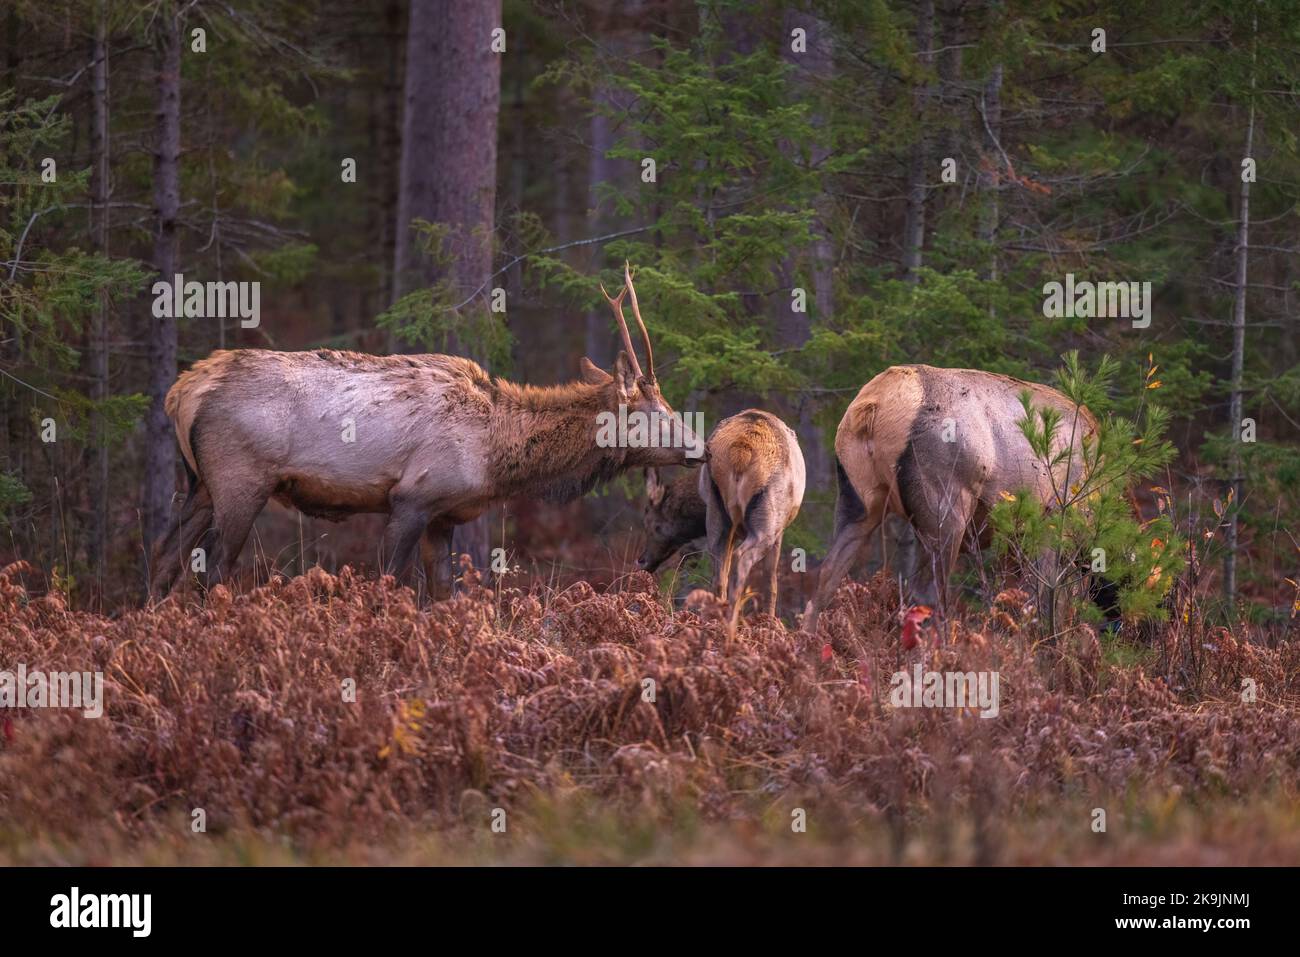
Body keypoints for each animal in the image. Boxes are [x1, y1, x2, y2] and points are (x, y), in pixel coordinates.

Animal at [148, 261, 702, 598]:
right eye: (657, 410)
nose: (698, 448)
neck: (494, 456)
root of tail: (182, 391)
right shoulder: (412, 497)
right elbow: (389, 582)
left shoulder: (445, 514)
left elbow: (444, 595)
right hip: (241, 480)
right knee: (211, 569)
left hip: (200, 484)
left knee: (162, 557)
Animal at [639, 408, 800, 624]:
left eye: (653, 525)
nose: (642, 561)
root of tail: (742, 452)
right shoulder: (779, 530)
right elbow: (771, 580)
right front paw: (770, 620)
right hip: (767, 520)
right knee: (741, 560)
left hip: (718, 516)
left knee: (719, 575)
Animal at [800, 361, 1097, 631]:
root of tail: (871, 408)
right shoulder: (1051, 524)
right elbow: (1049, 604)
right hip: (946, 507)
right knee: (928, 594)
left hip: (858, 500)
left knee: (826, 578)